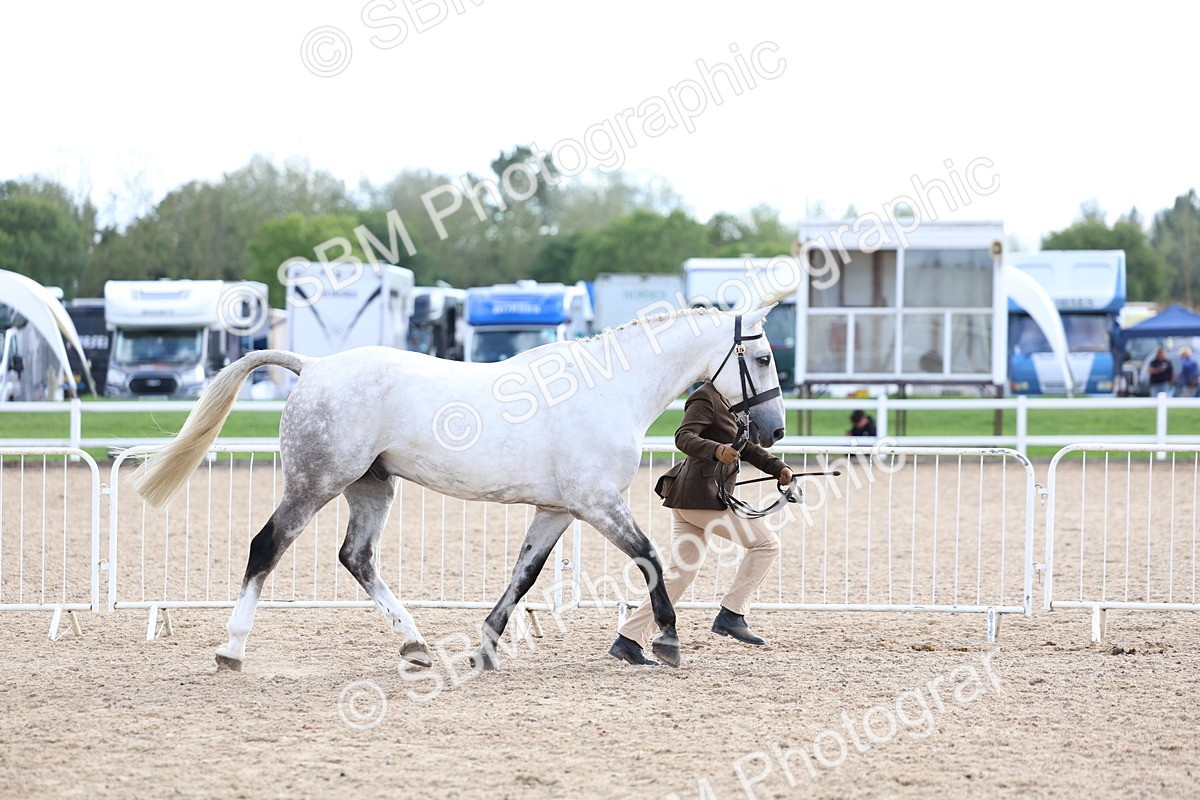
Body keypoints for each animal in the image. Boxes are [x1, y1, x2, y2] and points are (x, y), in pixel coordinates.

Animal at [129, 301, 787, 671]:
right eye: (763, 358)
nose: (774, 431)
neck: (609, 391)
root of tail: (312, 368)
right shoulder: (597, 504)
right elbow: (650, 558)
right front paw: (667, 641)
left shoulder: (557, 510)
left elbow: (524, 576)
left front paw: (486, 648)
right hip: (314, 483)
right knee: (267, 547)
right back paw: (231, 650)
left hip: (372, 488)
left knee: (357, 557)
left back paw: (416, 646)